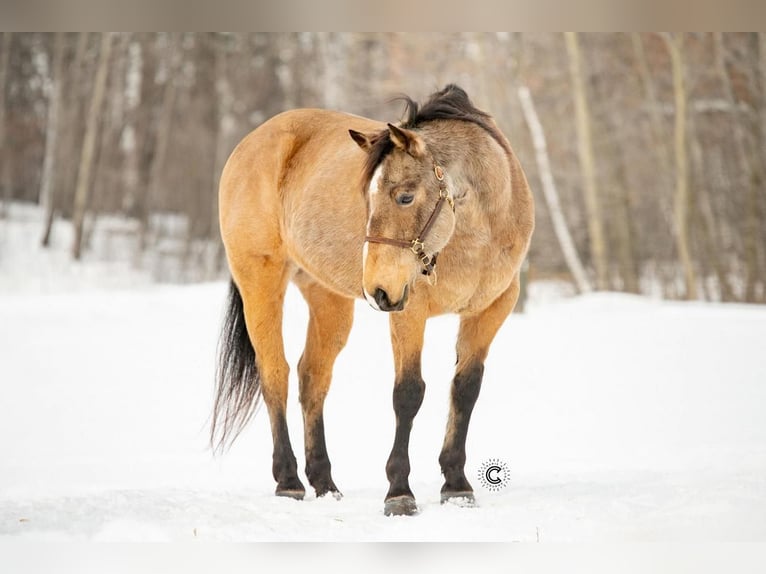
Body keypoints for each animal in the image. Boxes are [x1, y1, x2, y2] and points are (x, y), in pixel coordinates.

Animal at [210, 84, 536, 516]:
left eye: (405, 197)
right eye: (367, 197)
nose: (377, 291)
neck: (474, 234)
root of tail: (250, 142)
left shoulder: (491, 310)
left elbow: (465, 390)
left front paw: (456, 485)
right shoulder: (409, 311)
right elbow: (408, 393)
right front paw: (399, 491)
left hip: (328, 298)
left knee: (312, 377)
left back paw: (324, 483)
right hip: (261, 283)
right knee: (275, 375)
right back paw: (289, 481)